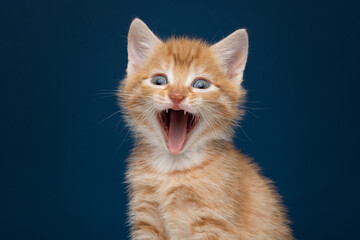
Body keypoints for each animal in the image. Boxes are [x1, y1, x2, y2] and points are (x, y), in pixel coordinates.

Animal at [119, 18, 294, 240]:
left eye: (201, 84)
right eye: (159, 81)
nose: (177, 96)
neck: (172, 169)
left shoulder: (214, 223)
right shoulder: (147, 220)